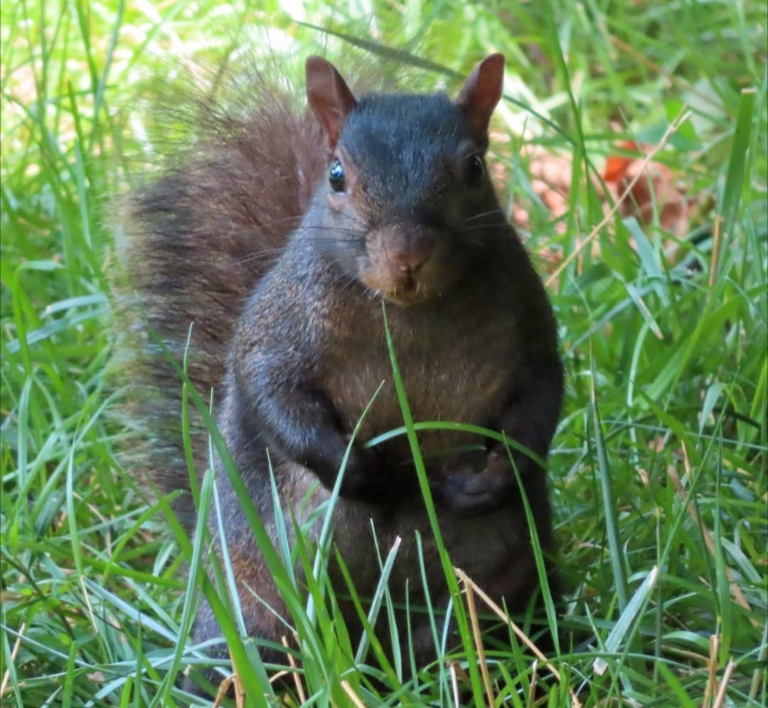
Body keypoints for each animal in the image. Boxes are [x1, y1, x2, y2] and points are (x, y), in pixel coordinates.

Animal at [115, 53, 564, 694]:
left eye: (475, 167)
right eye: (336, 176)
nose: (407, 254)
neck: (407, 313)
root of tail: (372, 651)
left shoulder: (530, 330)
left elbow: (539, 407)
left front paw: (490, 479)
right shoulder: (278, 331)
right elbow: (273, 397)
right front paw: (359, 470)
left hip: (493, 598)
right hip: (256, 610)